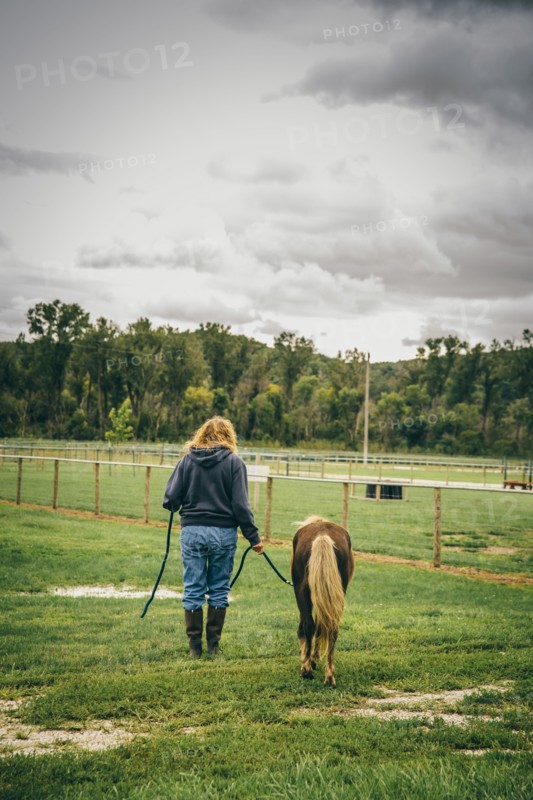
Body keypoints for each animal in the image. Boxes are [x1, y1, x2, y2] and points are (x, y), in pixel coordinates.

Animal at [291, 516, 355, 687]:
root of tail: (322, 536)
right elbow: (321, 627)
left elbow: (305, 629)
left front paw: (308, 661)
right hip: (337, 593)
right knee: (332, 628)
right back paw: (329, 677)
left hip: (302, 591)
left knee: (308, 625)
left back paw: (306, 671)